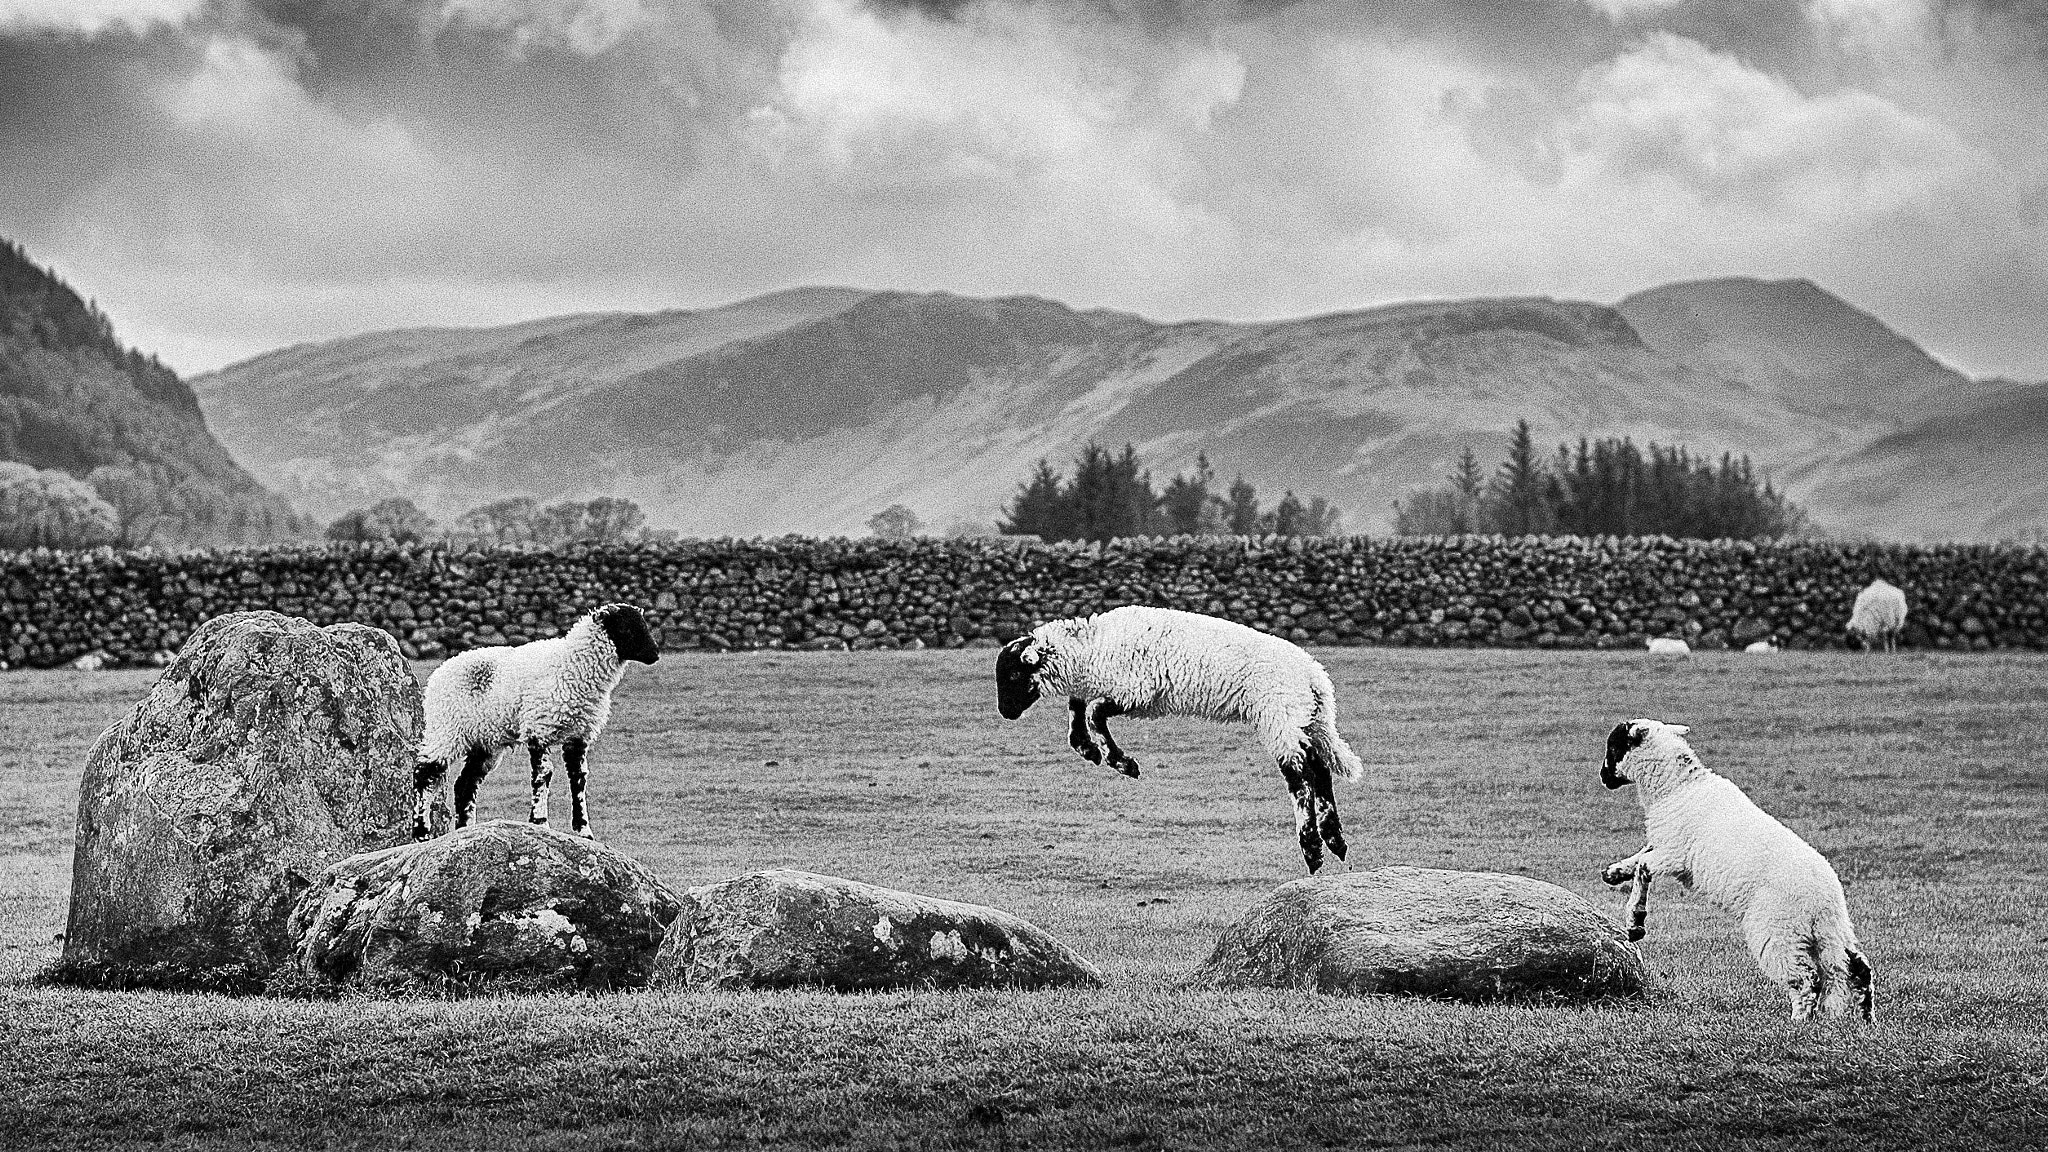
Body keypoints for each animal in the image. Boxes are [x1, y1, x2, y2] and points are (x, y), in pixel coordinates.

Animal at [415, 606, 663, 840]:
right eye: (626, 628)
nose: (655, 654)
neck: (572, 666)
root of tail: (439, 672)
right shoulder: (538, 728)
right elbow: (544, 774)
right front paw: (540, 822)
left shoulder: (578, 734)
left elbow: (579, 778)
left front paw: (584, 831)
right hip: (446, 730)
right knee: (424, 773)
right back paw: (421, 831)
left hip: (484, 740)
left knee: (465, 784)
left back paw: (465, 830)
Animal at [999, 606, 1368, 865]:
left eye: (1014, 673)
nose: (1005, 713)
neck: (1091, 647)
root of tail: (1315, 677)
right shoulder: (1116, 690)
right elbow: (1079, 707)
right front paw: (1088, 749)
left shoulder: (1137, 692)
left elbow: (1092, 713)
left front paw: (1121, 762)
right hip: (1303, 721)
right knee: (1319, 769)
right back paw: (1334, 840)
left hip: (1279, 716)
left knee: (1301, 777)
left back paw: (1312, 849)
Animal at [1597, 713, 1875, 1016]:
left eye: (1614, 746)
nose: (1603, 776)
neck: (1676, 788)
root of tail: (1826, 898)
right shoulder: (1664, 845)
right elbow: (1639, 857)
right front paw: (1613, 873)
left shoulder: (1675, 854)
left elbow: (1644, 867)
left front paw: (1635, 922)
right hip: (1828, 932)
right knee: (1855, 969)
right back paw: (1863, 1019)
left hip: (1778, 929)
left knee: (1806, 979)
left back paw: (1800, 1020)